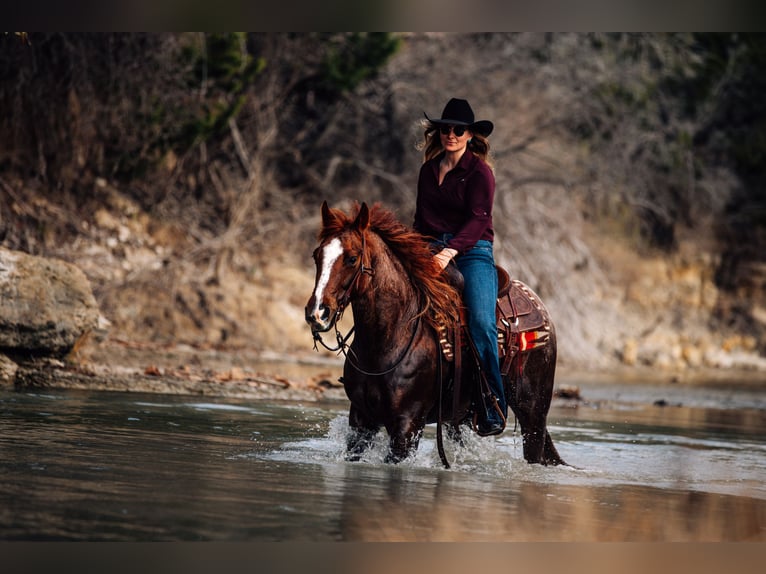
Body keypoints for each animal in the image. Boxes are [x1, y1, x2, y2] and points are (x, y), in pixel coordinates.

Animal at [304, 202, 564, 468]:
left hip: (532, 414)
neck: (388, 339)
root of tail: (540, 307)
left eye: (352, 258)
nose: (317, 313)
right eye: (317, 255)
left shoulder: (407, 426)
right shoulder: (360, 420)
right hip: (459, 420)